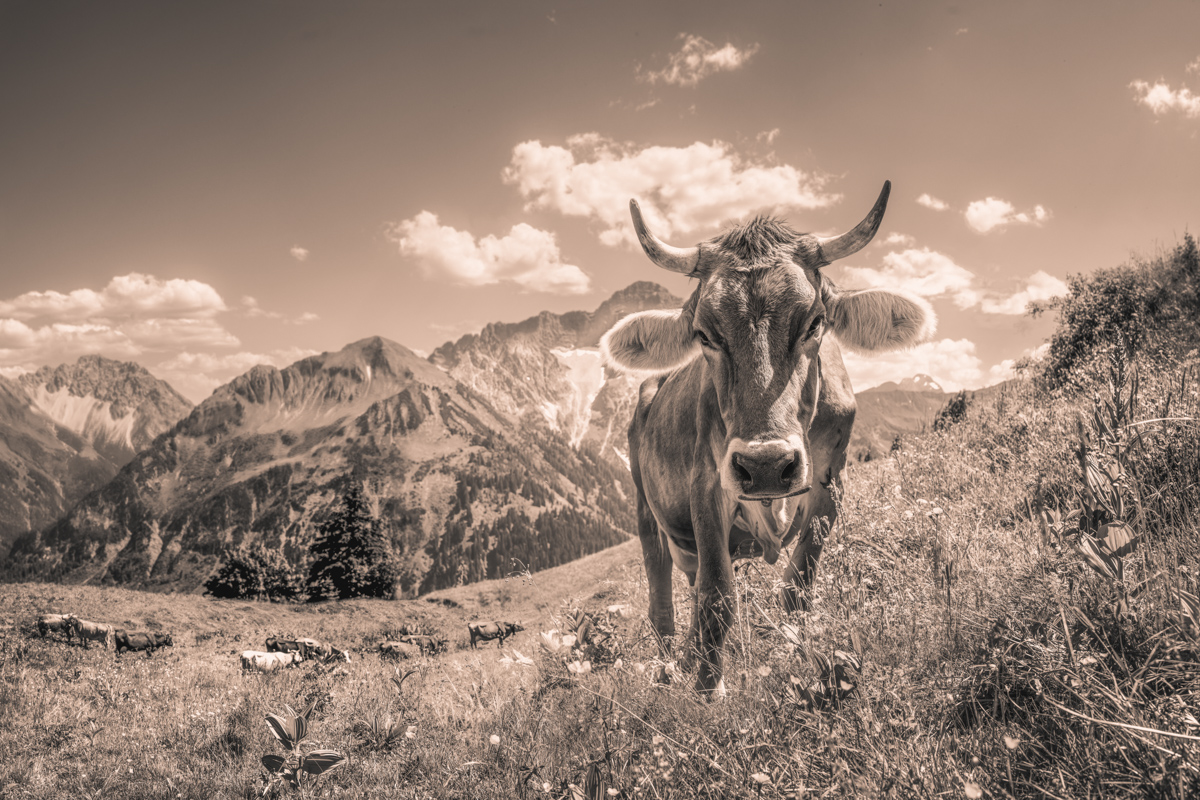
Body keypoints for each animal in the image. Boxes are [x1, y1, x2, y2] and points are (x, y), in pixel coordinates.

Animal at [600, 183, 933, 694]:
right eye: (704, 334)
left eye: (815, 322)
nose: (766, 466)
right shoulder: (708, 485)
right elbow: (718, 598)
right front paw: (707, 692)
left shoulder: (831, 482)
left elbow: (797, 585)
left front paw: (796, 658)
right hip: (644, 511)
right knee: (663, 605)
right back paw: (670, 671)